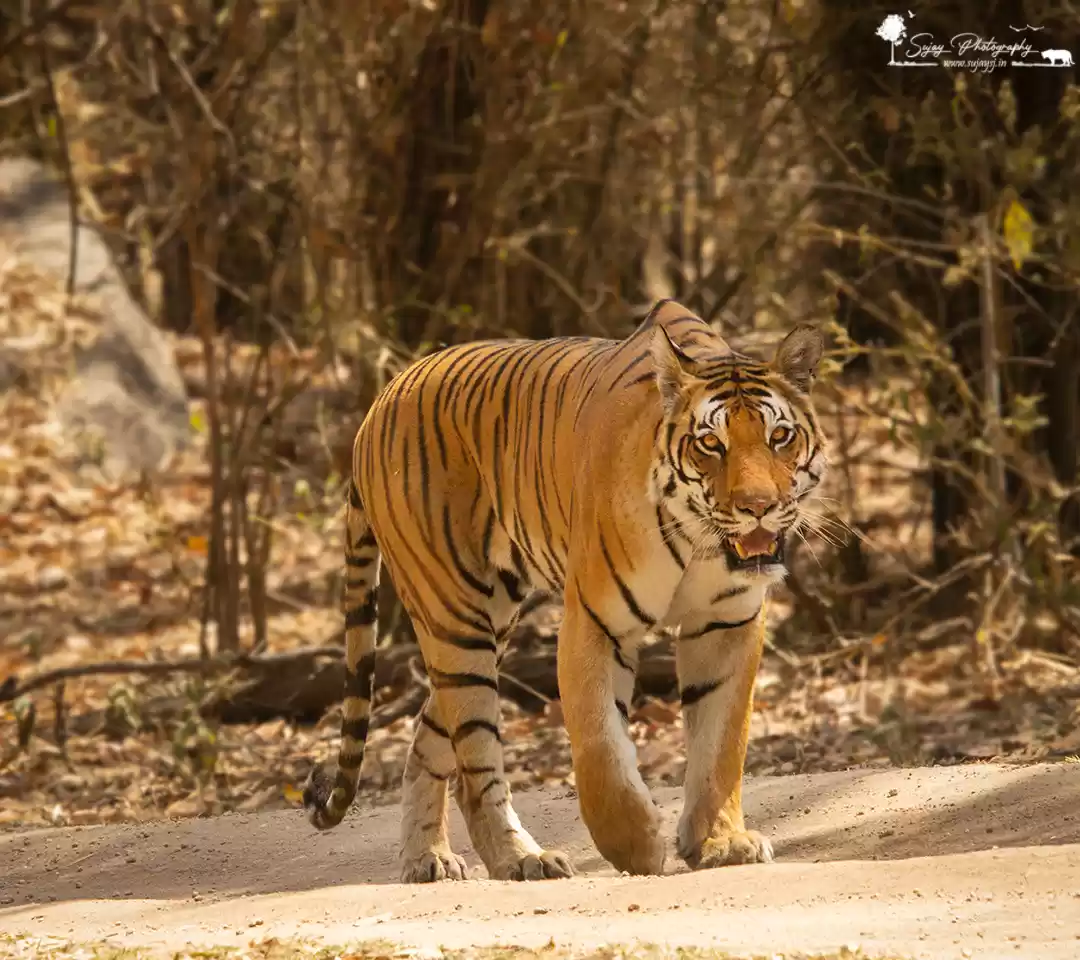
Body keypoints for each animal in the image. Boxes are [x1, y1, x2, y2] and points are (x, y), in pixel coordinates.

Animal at [303, 298, 827, 883]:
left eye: (779, 437)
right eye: (711, 444)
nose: (757, 506)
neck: (700, 542)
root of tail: (380, 400)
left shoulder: (727, 623)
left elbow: (722, 742)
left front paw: (721, 842)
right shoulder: (594, 621)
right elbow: (598, 743)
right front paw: (635, 846)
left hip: (486, 623)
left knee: (428, 738)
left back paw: (428, 858)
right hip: (454, 617)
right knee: (475, 760)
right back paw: (522, 859)